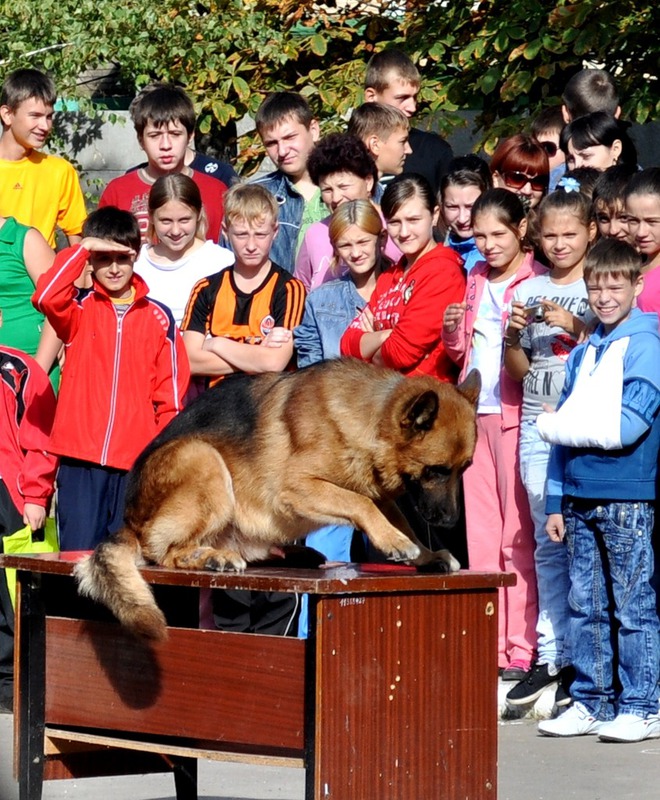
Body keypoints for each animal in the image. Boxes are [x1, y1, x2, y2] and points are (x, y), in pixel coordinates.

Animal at [75, 360, 480, 640]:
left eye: (465, 468)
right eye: (437, 470)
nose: (449, 522)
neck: (373, 420)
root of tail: (129, 521)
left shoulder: (382, 496)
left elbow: (398, 519)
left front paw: (424, 554)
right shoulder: (297, 489)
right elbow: (359, 504)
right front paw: (398, 544)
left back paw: (292, 553)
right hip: (202, 457)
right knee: (166, 551)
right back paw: (212, 557)